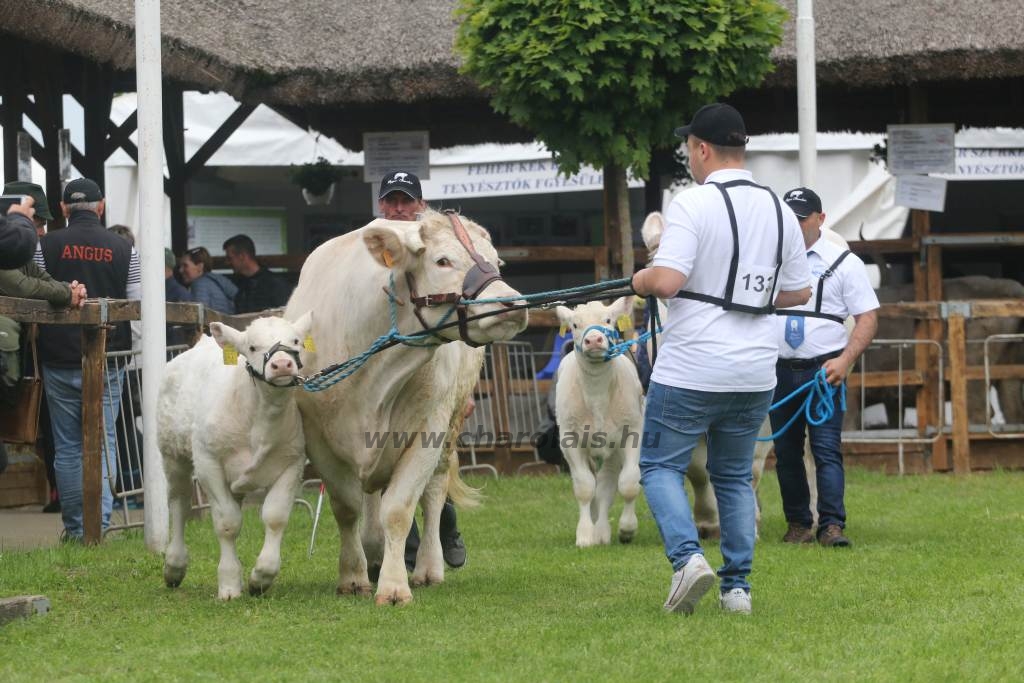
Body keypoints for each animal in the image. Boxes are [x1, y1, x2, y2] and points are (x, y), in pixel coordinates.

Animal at [156, 313, 311, 602]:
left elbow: (275, 517)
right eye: (252, 347)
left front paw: (261, 576)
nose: (282, 364)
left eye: (296, 341)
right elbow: (227, 523)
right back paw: (174, 565)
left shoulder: (291, 464)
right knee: (179, 504)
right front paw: (228, 584)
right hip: (172, 455)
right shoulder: (208, 463)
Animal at [288, 210, 528, 606]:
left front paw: (394, 586)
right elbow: (347, 508)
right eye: (442, 261)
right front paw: (353, 576)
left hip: (449, 426)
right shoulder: (317, 437)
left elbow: (399, 509)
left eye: (496, 261)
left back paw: (427, 568)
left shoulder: (428, 429)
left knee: (433, 493)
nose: (514, 304)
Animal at [557, 296, 643, 548]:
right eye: (575, 325)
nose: (594, 340)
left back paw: (603, 530)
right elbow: (585, 487)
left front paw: (627, 528)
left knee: (607, 485)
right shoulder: (569, 440)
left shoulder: (633, 431)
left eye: (608, 320)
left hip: (612, 450)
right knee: (597, 486)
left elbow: (629, 483)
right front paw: (585, 535)